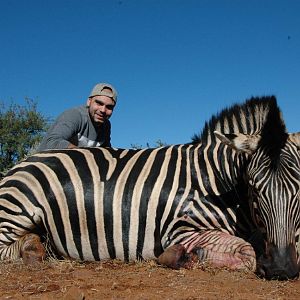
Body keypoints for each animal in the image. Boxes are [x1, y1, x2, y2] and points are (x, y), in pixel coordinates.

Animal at [0, 95, 298, 278]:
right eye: (254, 188)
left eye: (298, 190)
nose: (282, 269)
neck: (217, 181)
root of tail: (20, 165)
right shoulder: (179, 229)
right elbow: (247, 253)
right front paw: (183, 257)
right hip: (18, 209)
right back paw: (32, 250)